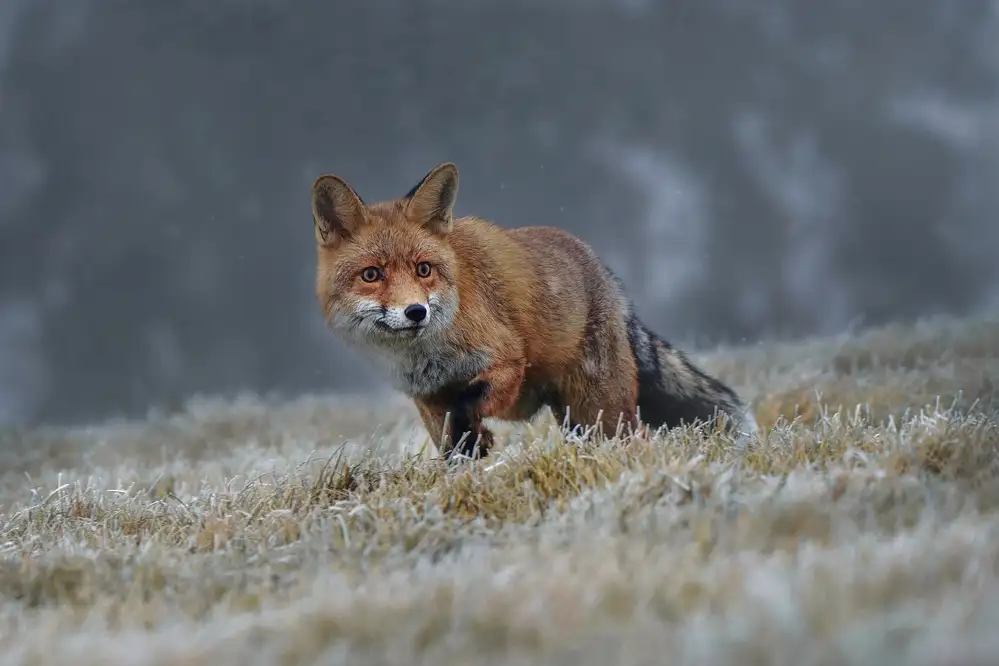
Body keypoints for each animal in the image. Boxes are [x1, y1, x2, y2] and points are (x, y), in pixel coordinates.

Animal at [311, 161, 758, 460]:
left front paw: (474, 437)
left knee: (636, 440)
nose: (416, 312)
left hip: (601, 411)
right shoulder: (427, 397)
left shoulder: (508, 361)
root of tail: (608, 276)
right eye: (372, 274)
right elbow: (449, 443)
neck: (428, 356)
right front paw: (468, 457)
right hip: (578, 421)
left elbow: (469, 404)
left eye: (424, 269)